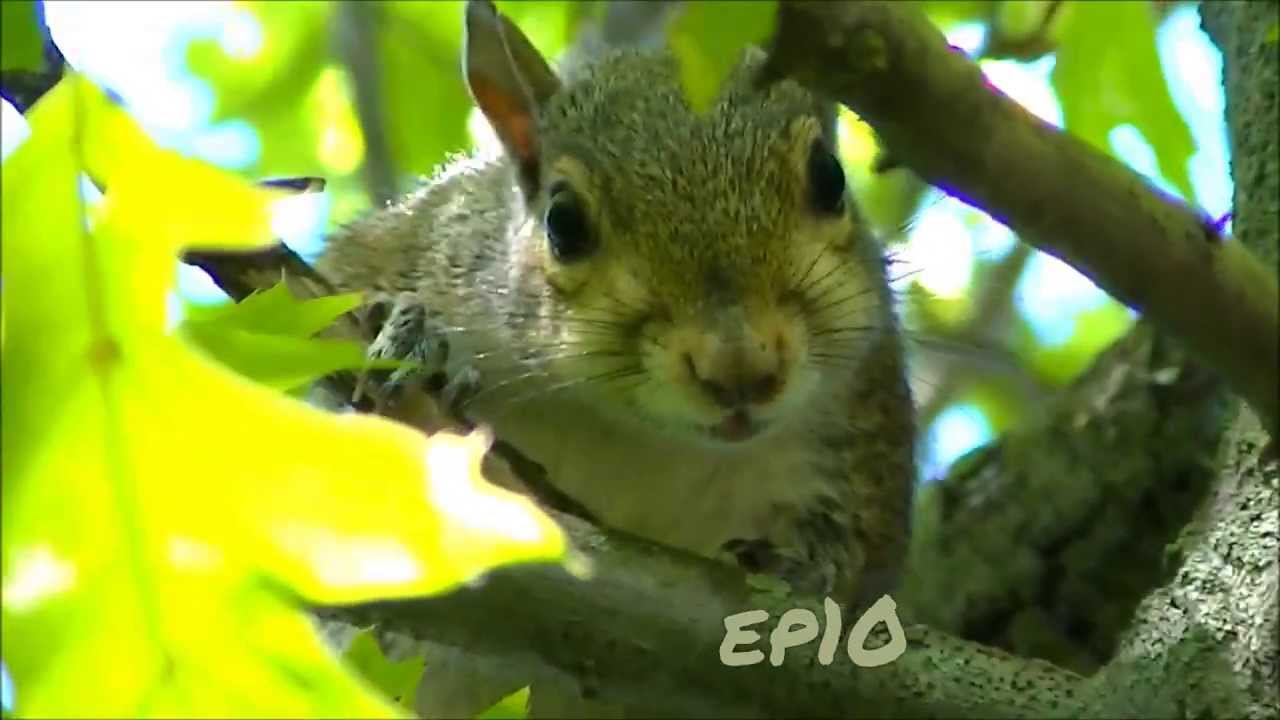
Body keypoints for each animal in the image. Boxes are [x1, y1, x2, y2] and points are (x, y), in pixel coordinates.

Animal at [314, 1, 916, 713]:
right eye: (563, 223)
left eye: (830, 178)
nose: (741, 370)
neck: (636, 436)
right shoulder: (410, 245)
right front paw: (411, 338)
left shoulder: (866, 435)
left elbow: (863, 565)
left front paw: (812, 564)